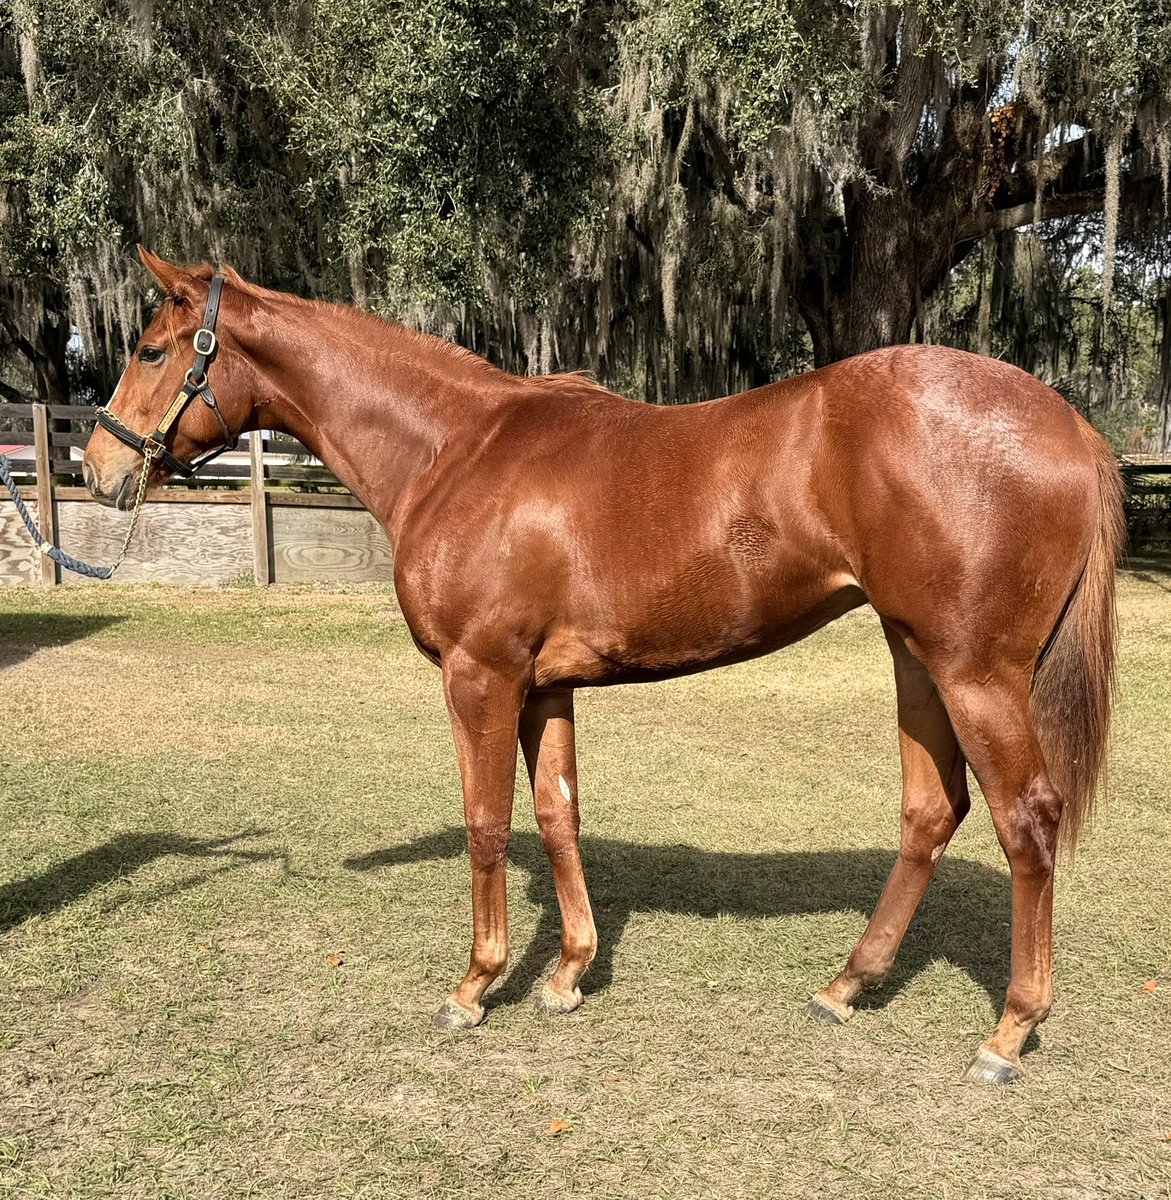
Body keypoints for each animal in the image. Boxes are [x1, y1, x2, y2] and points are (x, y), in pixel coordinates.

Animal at [83, 248, 1126, 1085]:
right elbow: (558, 814)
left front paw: (475, 986)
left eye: (149, 350)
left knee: (1026, 819)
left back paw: (1006, 1034)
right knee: (930, 810)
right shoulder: (545, 686)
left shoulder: (480, 676)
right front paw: (568, 972)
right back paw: (846, 984)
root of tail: (1066, 425)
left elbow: (488, 824)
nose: (98, 466)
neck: (455, 449)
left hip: (974, 671)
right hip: (915, 657)